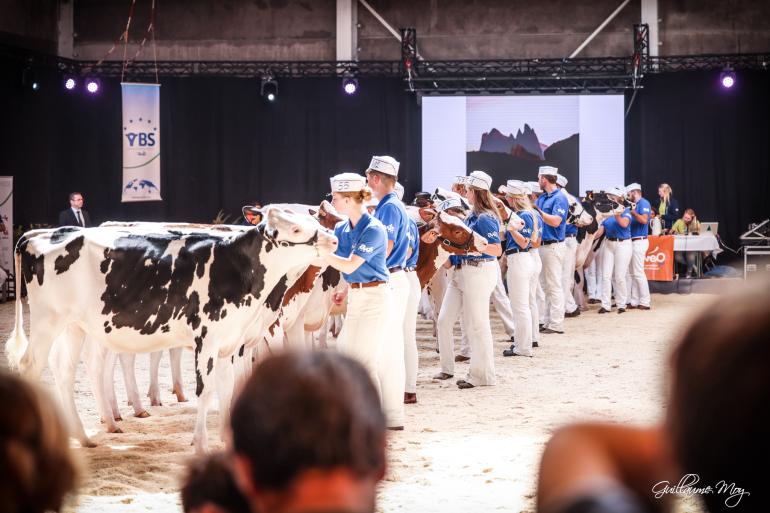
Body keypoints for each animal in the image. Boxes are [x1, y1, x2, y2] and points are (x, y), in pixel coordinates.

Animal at [6, 206, 336, 450]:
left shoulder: (233, 341)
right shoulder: (208, 339)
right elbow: (206, 390)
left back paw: (83, 437)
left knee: (64, 369)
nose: (333, 240)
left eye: (312, 220)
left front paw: (227, 439)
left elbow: (228, 387)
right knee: (32, 365)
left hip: (73, 325)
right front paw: (201, 443)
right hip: (48, 320)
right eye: (296, 229)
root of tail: (41, 234)